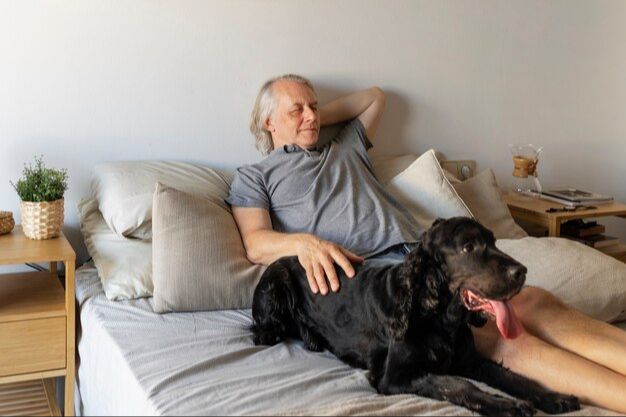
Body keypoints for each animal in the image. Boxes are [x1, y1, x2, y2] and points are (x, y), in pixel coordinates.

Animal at [250, 216, 580, 414]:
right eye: (468, 247)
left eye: (495, 241)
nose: (521, 271)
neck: (438, 318)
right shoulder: (395, 377)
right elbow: (457, 385)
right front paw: (507, 405)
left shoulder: (469, 360)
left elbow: (509, 375)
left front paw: (553, 397)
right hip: (276, 284)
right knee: (262, 328)